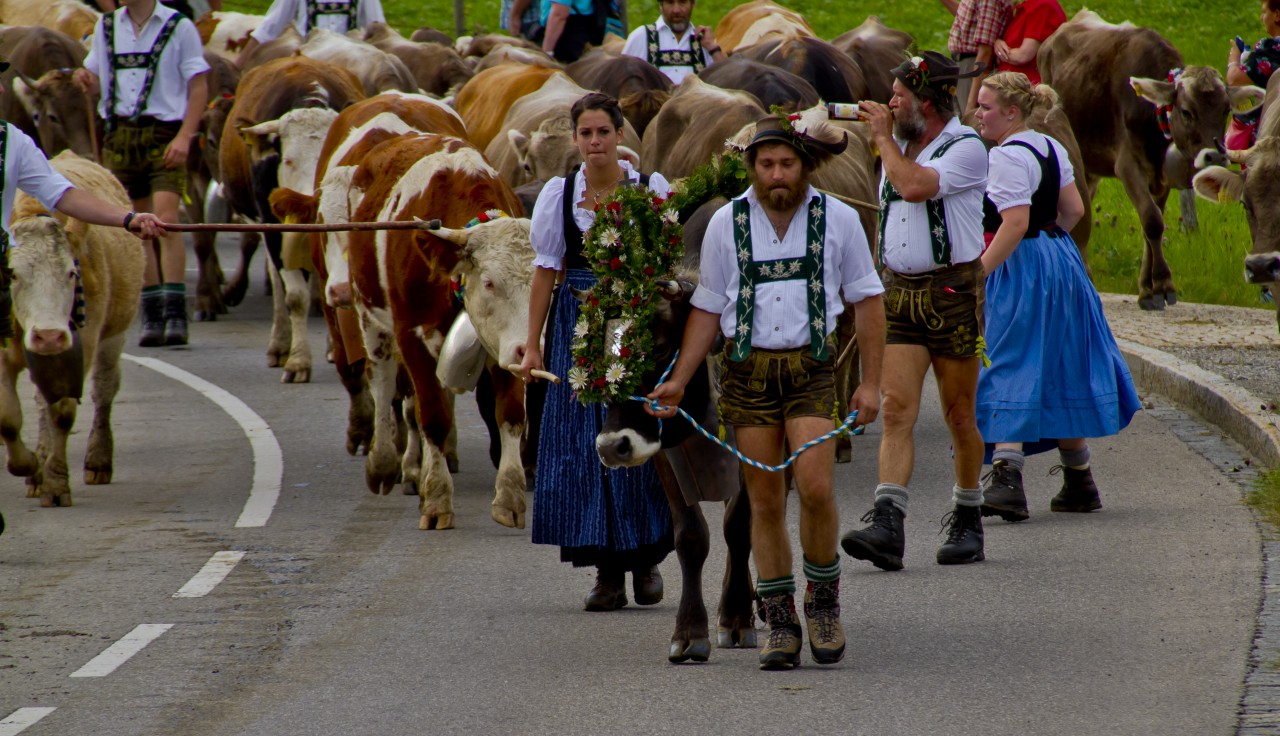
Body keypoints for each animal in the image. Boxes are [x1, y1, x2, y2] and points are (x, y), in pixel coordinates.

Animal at [0, 152, 144, 509]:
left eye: (71, 273)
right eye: (13, 274)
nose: (49, 336)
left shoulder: (84, 345)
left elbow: (62, 412)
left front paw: (54, 483)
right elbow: (8, 417)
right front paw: (30, 466)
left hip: (114, 337)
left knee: (104, 390)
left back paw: (98, 461)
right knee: (40, 403)